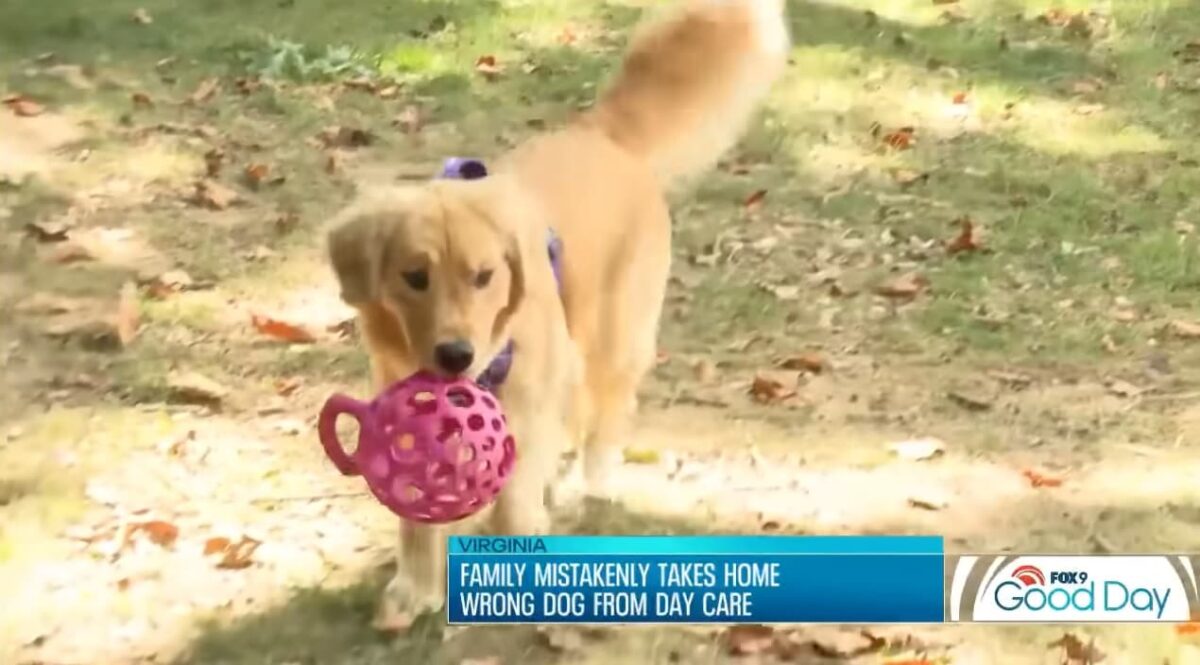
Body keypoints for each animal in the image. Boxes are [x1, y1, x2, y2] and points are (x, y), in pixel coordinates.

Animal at [326, 0, 787, 624]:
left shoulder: (528, 399)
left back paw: (587, 484)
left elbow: (513, 496)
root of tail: (601, 135)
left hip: (612, 341)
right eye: (414, 278)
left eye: (484, 277)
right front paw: (415, 587)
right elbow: (419, 512)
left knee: (605, 420)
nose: (455, 356)